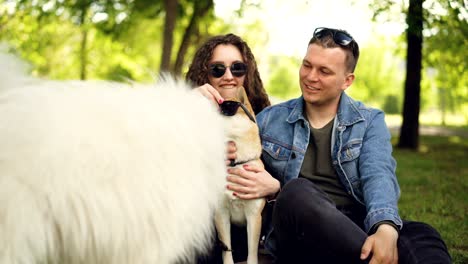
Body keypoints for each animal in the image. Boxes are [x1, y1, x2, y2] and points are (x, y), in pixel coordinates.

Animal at [215, 85, 266, 262]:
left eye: (223, 110)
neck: (235, 164)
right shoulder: (221, 214)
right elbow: (226, 250)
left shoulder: (254, 216)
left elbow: (252, 253)